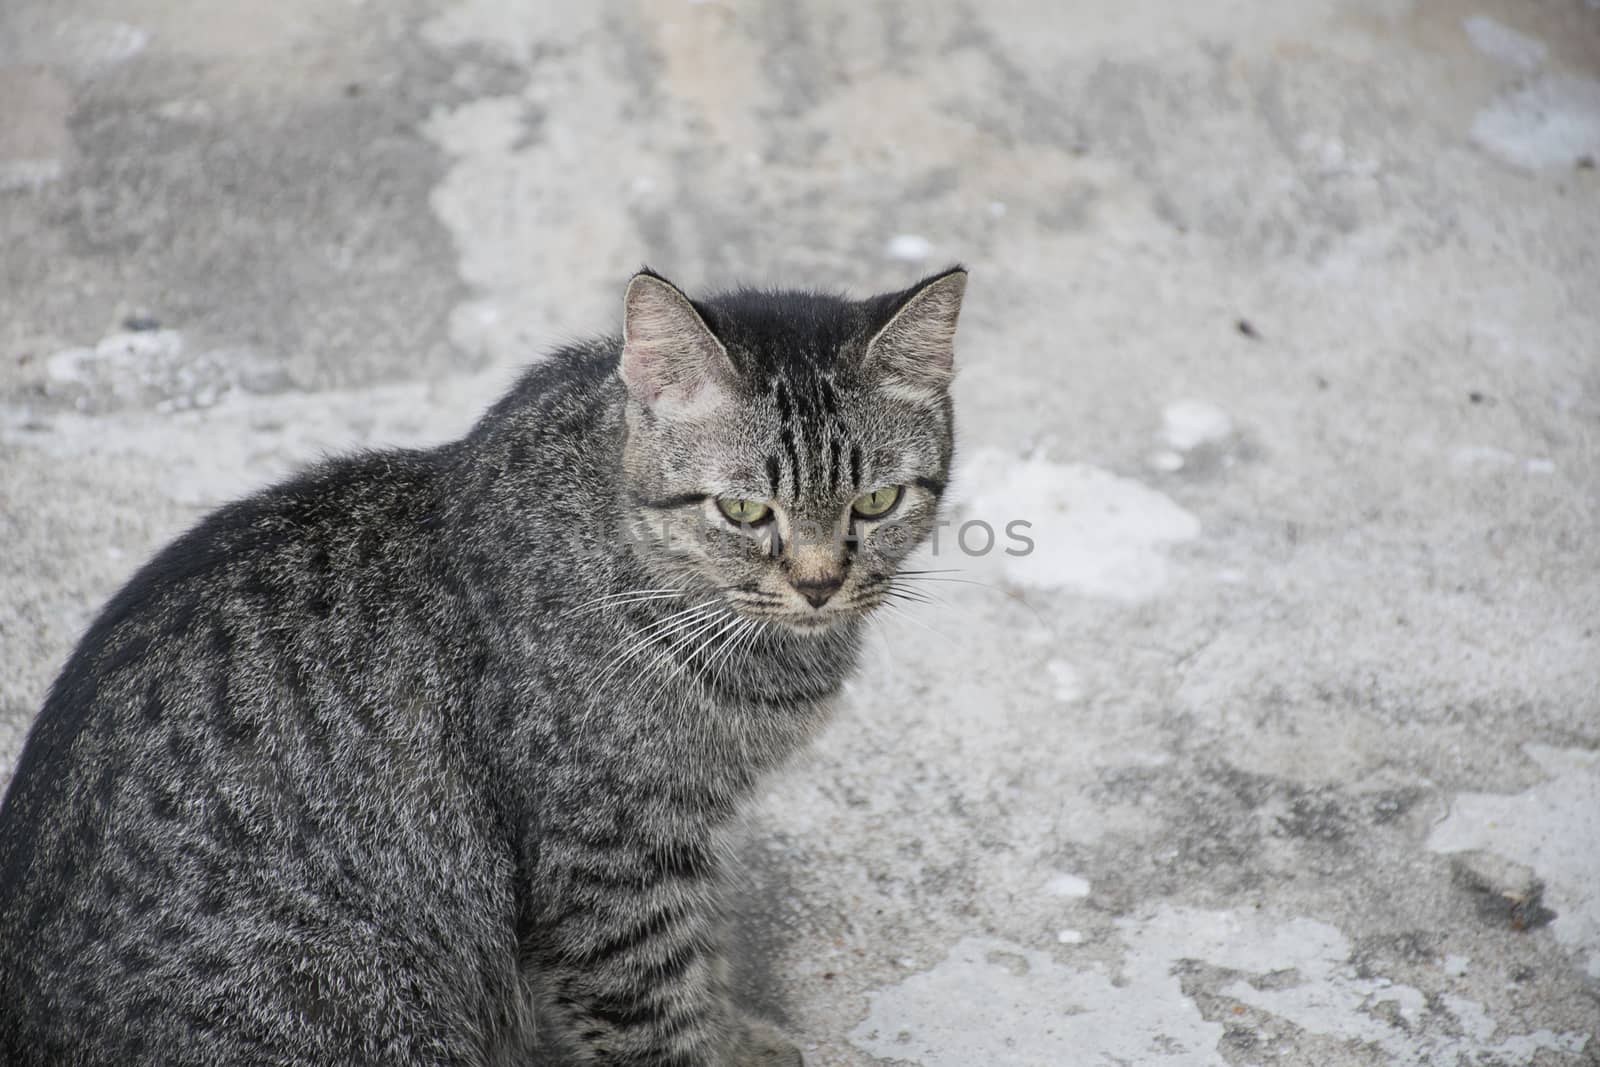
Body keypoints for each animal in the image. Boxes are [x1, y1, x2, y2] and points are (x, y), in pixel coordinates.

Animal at [0, 267, 960, 1067]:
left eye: (877, 501)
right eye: (744, 510)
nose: (820, 583)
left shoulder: (691, 826)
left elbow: (704, 953)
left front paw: (734, 1034)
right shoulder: (609, 856)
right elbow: (653, 1014)